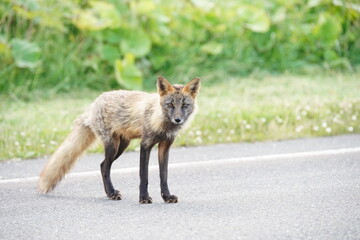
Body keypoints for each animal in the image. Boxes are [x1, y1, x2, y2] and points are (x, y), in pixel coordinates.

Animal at [38, 76, 201, 203]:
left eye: (184, 105)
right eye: (170, 104)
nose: (178, 120)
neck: (160, 120)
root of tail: (94, 103)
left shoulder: (165, 146)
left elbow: (164, 176)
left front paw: (166, 197)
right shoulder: (145, 144)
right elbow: (144, 175)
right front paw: (143, 198)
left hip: (122, 146)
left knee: (102, 165)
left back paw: (109, 193)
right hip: (112, 147)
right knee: (104, 167)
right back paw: (111, 193)